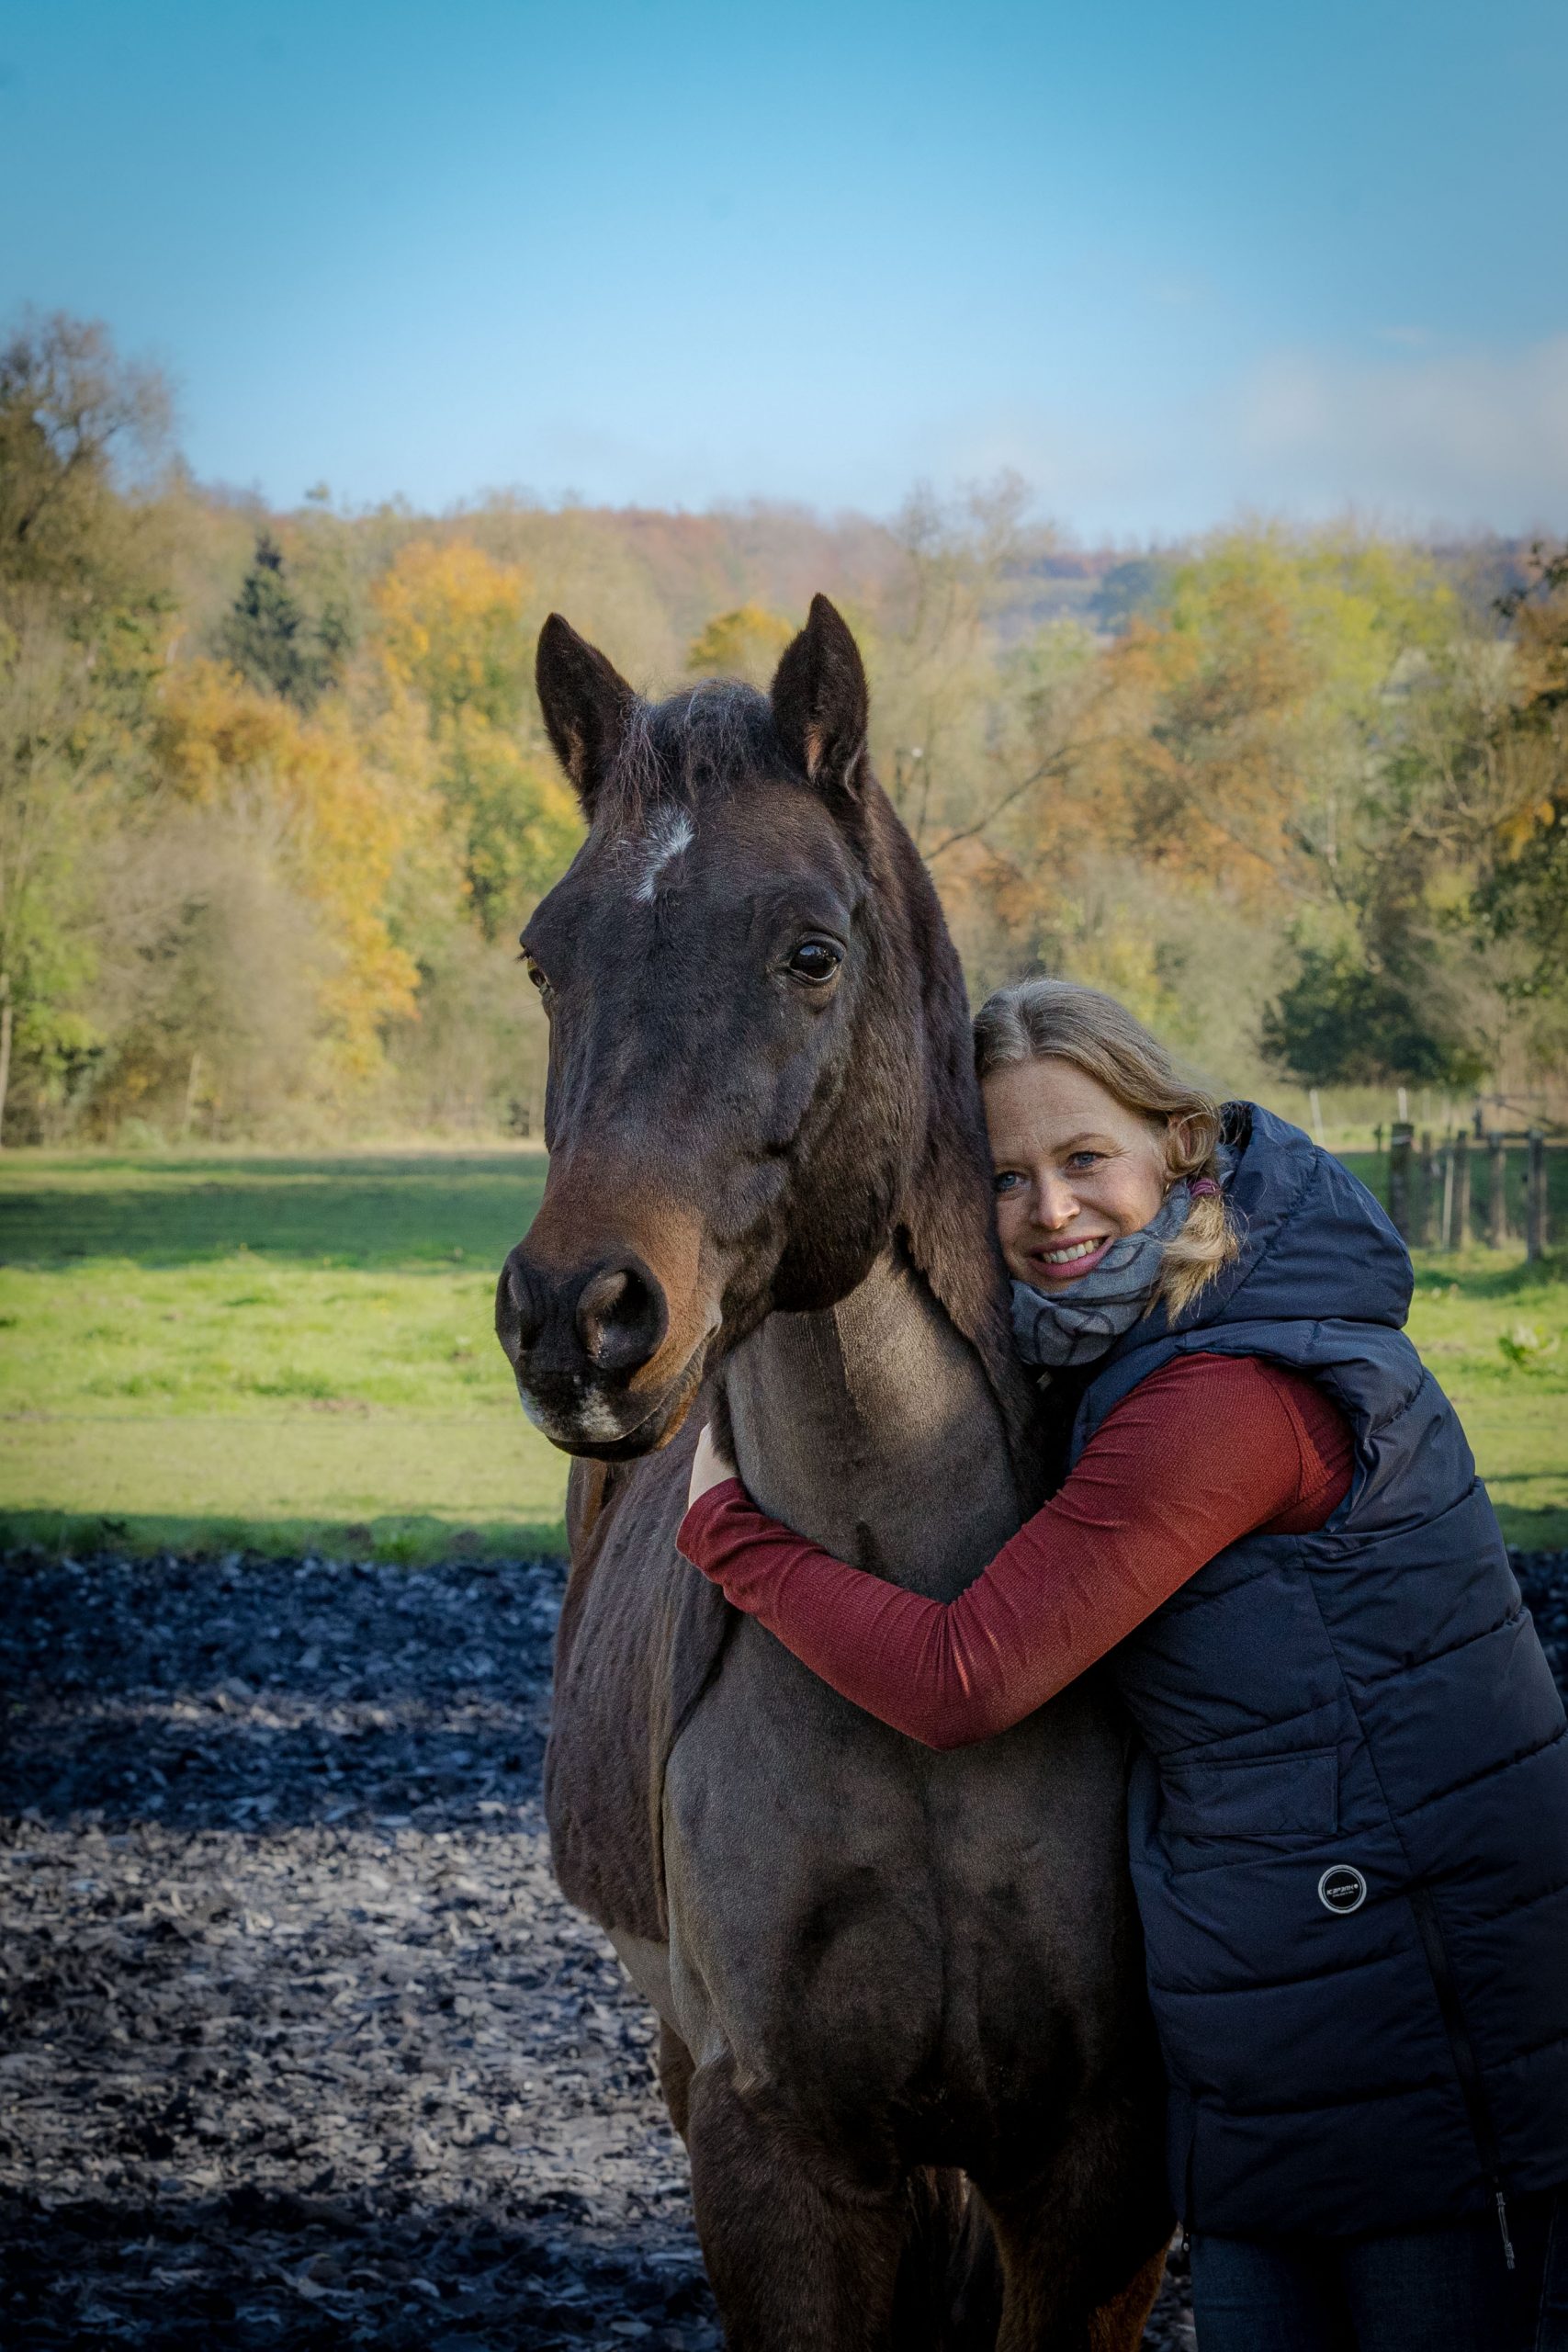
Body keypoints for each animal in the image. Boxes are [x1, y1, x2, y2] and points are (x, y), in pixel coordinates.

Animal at [495, 596, 1169, 2349]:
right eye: (544, 957)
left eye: (810, 951)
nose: (574, 1317)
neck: (924, 1632)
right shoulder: (775, 2154)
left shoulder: (1101, 2170)